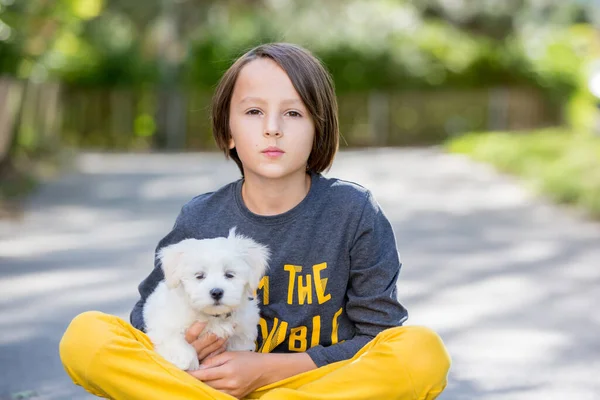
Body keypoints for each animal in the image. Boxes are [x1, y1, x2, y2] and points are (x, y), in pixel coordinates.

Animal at [143, 227, 270, 370]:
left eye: (229, 274)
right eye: (199, 276)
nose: (216, 292)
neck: (213, 317)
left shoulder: (242, 331)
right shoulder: (164, 320)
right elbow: (172, 337)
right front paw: (183, 359)